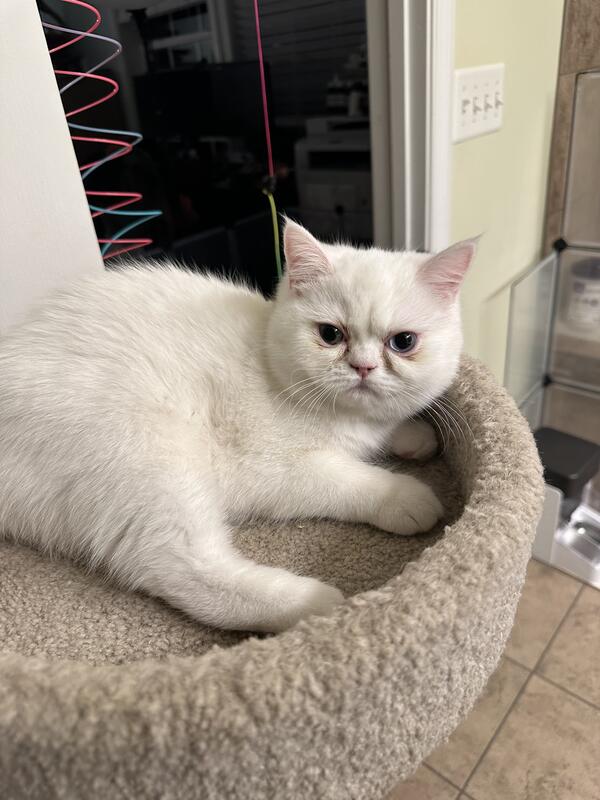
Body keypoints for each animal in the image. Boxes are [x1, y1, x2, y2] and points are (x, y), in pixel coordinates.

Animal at [0, 220, 476, 633]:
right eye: (330, 334)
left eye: (403, 342)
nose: (363, 367)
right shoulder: (273, 470)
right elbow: (348, 478)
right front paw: (403, 495)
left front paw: (413, 435)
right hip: (147, 454)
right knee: (177, 563)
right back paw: (308, 604)